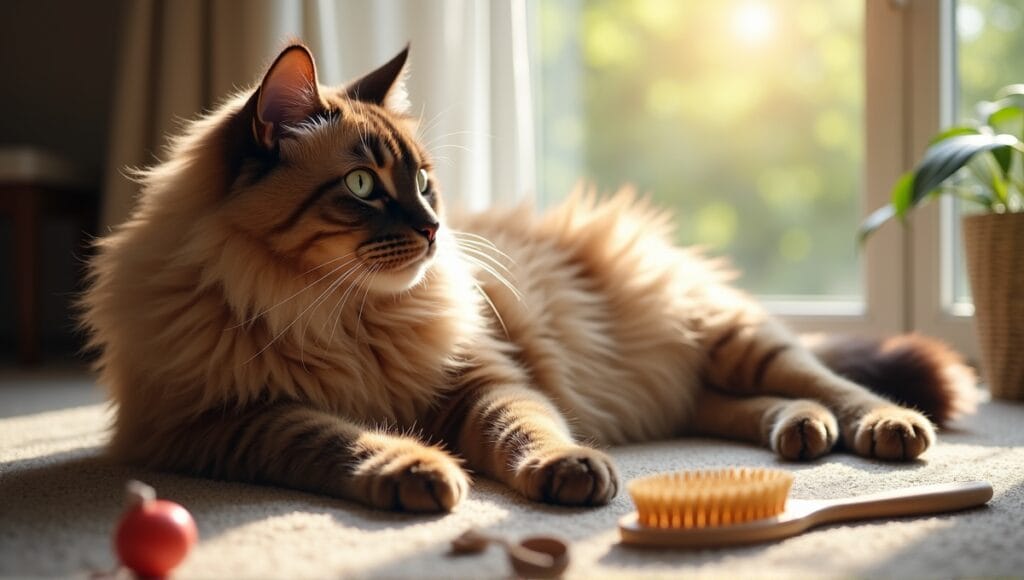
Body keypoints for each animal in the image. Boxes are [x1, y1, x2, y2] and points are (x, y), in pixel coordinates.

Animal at [79, 44, 974, 514]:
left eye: (425, 183)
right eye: (364, 187)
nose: (434, 230)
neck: (339, 319)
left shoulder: (484, 380)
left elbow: (525, 431)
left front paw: (568, 472)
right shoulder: (228, 420)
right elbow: (335, 437)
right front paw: (417, 472)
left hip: (735, 339)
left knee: (830, 382)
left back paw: (881, 428)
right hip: (700, 381)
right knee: (740, 407)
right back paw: (801, 432)